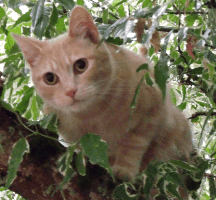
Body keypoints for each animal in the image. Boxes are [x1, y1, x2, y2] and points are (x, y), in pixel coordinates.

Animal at [13, 5, 192, 198]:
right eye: (50, 78)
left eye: (81, 65)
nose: (70, 91)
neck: (95, 115)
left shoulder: (153, 110)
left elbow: (133, 144)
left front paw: (124, 169)